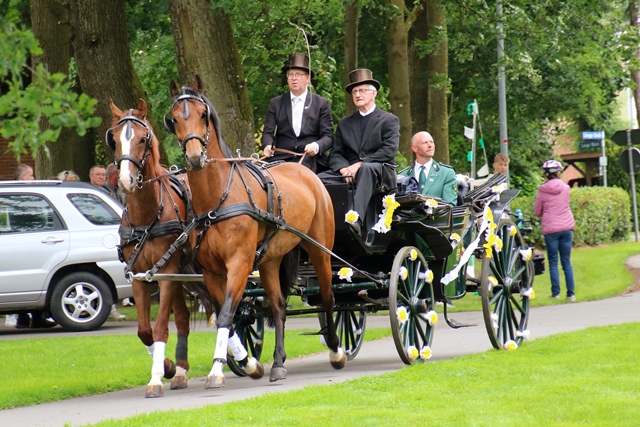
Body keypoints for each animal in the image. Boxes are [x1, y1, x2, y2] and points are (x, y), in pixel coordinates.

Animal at [107, 98, 213, 398]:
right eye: (114, 140)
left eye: (143, 139)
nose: (126, 181)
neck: (147, 216)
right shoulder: (141, 276)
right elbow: (145, 330)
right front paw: (166, 366)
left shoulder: (166, 272)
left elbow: (161, 327)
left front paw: (156, 378)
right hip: (182, 274)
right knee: (185, 317)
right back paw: (181, 371)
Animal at [165, 76, 344, 388]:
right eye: (174, 119)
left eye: (203, 114)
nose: (195, 157)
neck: (218, 198)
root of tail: (305, 171)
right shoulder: (212, 271)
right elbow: (224, 315)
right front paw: (248, 363)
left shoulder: (239, 263)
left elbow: (226, 314)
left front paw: (217, 370)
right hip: (271, 260)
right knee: (279, 306)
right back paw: (278, 363)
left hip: (320, 250)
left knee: (328, 297)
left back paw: (335, 350)